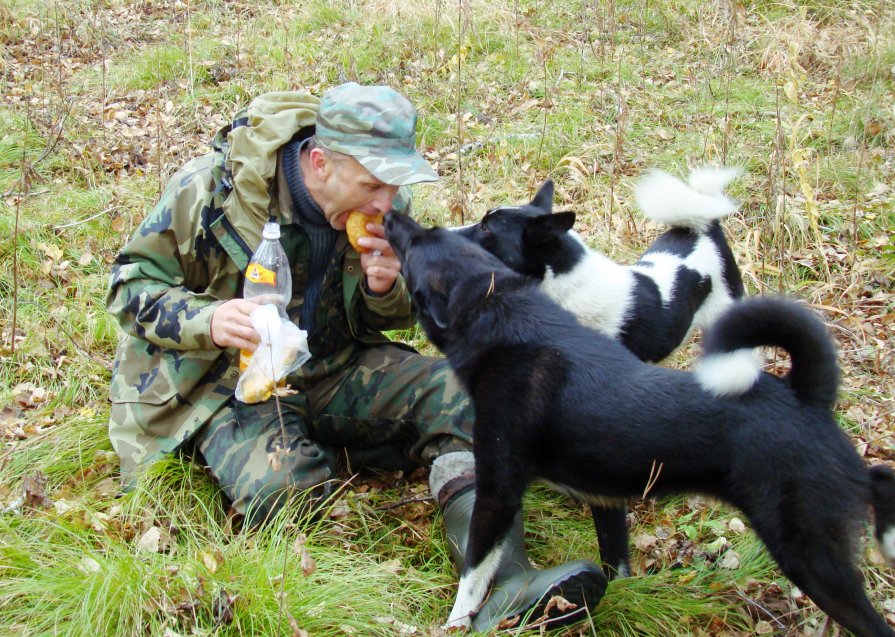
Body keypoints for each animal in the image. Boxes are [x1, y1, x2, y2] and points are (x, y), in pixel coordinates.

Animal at [384, 212, 895, 636]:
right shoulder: (603, 498)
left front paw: (455, 624)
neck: (504, 319)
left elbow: (473, 575)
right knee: (878, 478)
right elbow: (617, 563)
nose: (392, 214)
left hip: (811, 557)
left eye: (415, 246)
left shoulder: (497, 491)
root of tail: (806, 395)